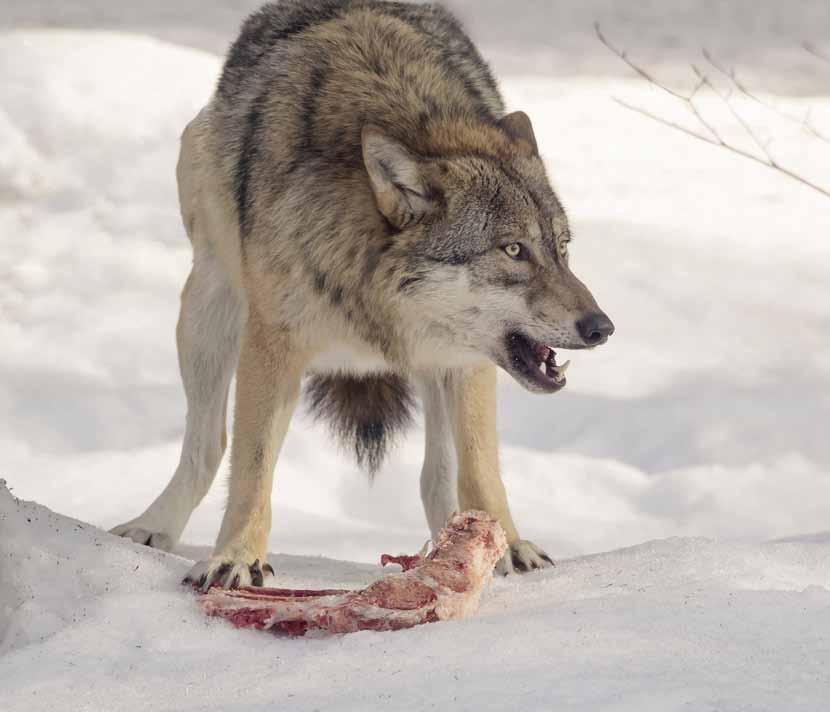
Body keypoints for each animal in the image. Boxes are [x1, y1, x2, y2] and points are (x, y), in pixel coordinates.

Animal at [110, 0, 616, 588]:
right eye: (514, 250)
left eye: (562, 248)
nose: (602, 327)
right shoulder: (272, 346)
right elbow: (252, 467)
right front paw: (236, 557)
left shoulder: (468, 362)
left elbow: (482, 469)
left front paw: (509, 549)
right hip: (209, 308)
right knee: (209, 444)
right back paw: (153, 527)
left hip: (440, 366)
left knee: (437, 475)